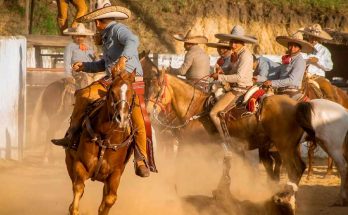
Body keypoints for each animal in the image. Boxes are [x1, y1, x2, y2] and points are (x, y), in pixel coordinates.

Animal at [64, 71, 137, 214]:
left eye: (132, 94)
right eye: (112, 92)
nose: (121, 118)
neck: (106, 139)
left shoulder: (116, 173)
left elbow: (109, 200)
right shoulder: (80, 165)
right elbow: (78, 189)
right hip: (69, 161)